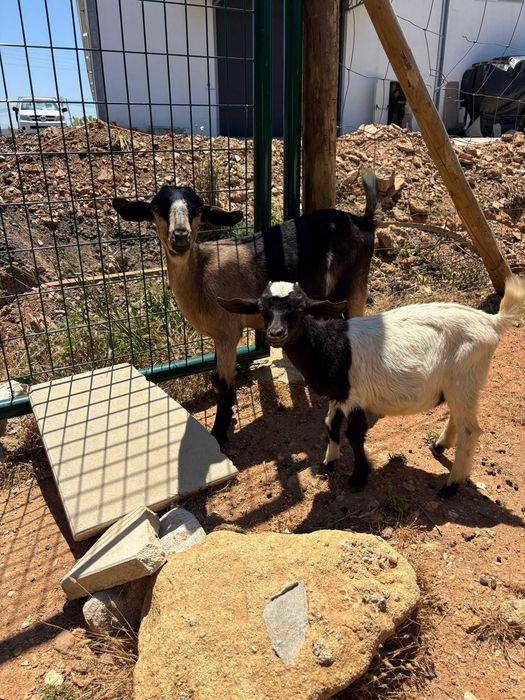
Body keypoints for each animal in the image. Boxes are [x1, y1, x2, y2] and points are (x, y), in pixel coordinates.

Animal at [112, 176, 378, 444]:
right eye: (156, 208)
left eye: (198, 209)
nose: (180, 236)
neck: (202, 276)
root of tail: (363, 221)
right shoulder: (220, 336)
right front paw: (229, 417)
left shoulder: (228, 333)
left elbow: (222, 384)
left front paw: (218, 433)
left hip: (356, 284)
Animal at [218, 276, 525, 497]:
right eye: (262, 308)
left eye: (302, 308)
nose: (276, 333)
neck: (327, 347)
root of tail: (492, 321)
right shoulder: (339, 394)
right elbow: (330, 425)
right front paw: (328, 463)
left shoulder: (355, 397)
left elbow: (355, 435)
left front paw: (358, 477)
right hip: (459, 383)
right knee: (459, 419)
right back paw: (440, 446)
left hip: (465, 378)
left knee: (471, 430)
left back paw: (451, 486)